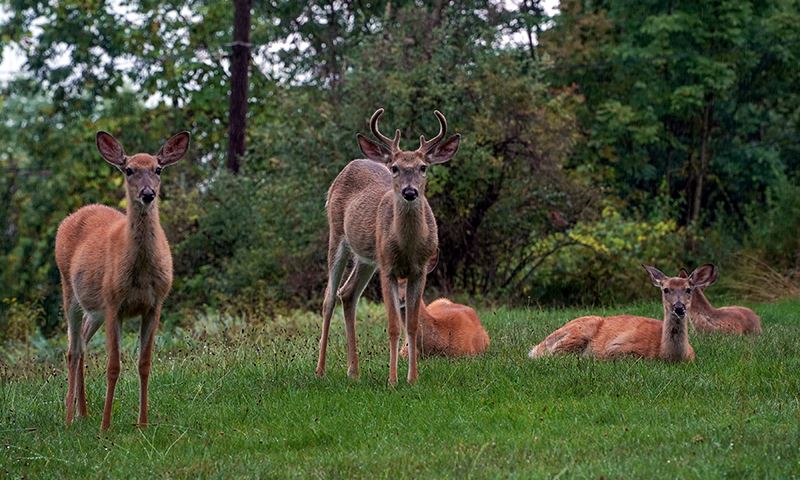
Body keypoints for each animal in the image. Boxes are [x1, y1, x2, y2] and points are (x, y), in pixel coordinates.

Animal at [55, 130, 189, 430]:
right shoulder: (114, 303)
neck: (140, 271)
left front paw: (143, 423)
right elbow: (113, 366)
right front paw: (106, 426)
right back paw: (68, 417)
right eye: (129, 170)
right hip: (69, 290)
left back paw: (83, 413)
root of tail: (73, 215)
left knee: (82, 343)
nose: (148, 194)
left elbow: (144, 363)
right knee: (72, 350)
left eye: (158, 169)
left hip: (95, 310)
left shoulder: (154, 305)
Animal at [316, 108, 460, 385]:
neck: (407, 247)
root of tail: (351, 164)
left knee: (347, 293)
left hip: (367, 257)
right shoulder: (388, 268)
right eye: (395, 168)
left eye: (423, 167)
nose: (410, 192)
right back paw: (320, 370)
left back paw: (354, 371)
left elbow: (412, 324)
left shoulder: (420, 270)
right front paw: (393, 380)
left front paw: (412, 379)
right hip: (337, 235)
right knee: (328, 297)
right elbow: (393, 325)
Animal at [528, 264, 717, 362]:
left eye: (688, 289)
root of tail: (537, 346)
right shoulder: (617, 347)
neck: (666, 354)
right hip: (578, 331)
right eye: (665, 289)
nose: (679, 307)